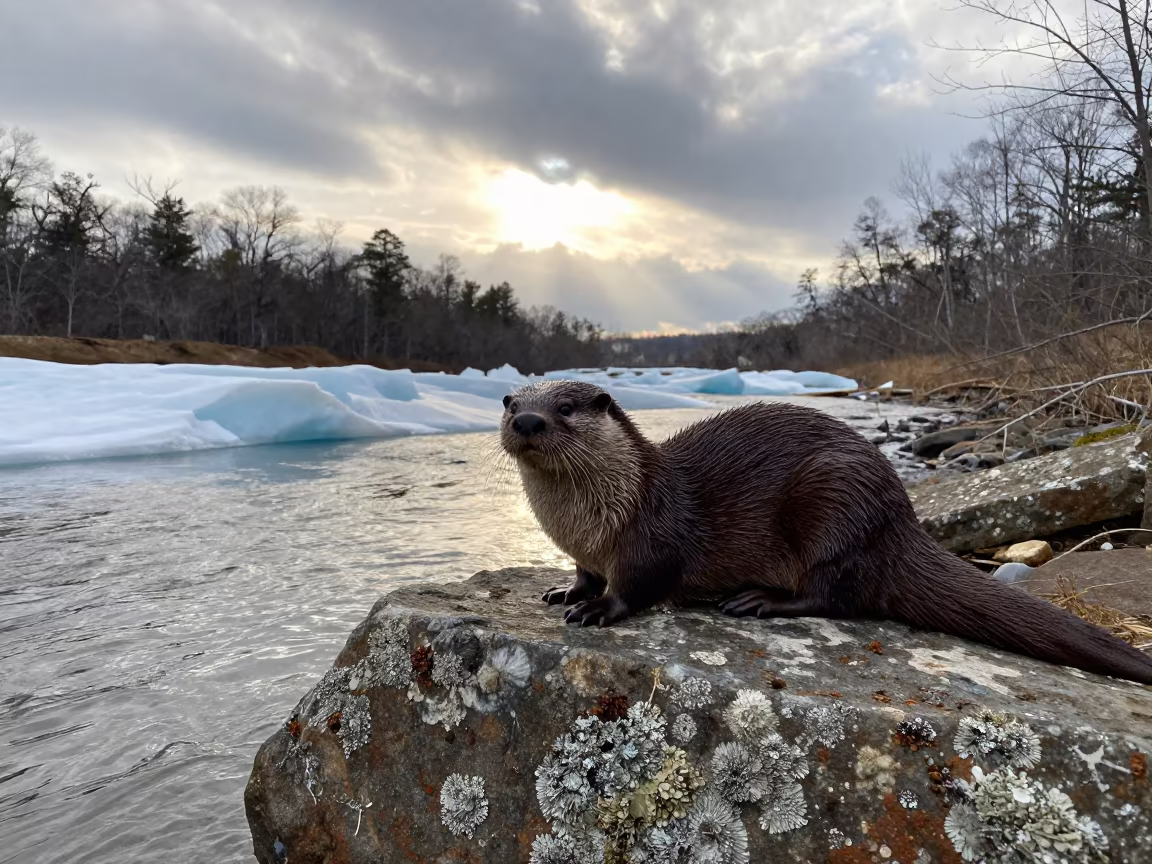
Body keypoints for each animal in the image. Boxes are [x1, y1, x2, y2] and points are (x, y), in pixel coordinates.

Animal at [499, 379, 1152, 686]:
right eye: (509, 401)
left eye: (566, 407)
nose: (527, 419)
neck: (593, 520)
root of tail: (900, 520)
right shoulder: (587, 551)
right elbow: (586, 575)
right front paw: (566, 592)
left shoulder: (651, 536)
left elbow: (638, 585)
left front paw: (598, 610)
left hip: (835, 505)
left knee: (834, 595)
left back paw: (760, 602)